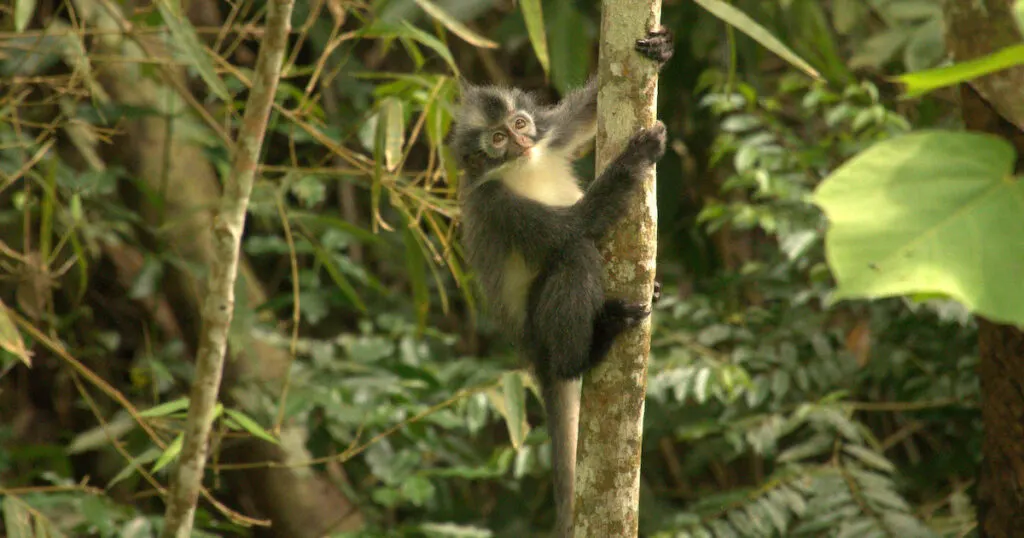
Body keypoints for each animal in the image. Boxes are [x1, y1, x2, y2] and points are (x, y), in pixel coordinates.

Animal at [446, 27, 671, 532]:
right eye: (497, 138)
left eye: (521, 123)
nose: (519, 141)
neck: (520, 167)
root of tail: (533, 355)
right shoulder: (496, 204)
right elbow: (575, 228)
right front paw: (635, 158)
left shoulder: (549, 136)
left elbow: (586, 113)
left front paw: (661, 48)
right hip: (541, 328)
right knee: (575, 255)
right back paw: (589, 350)